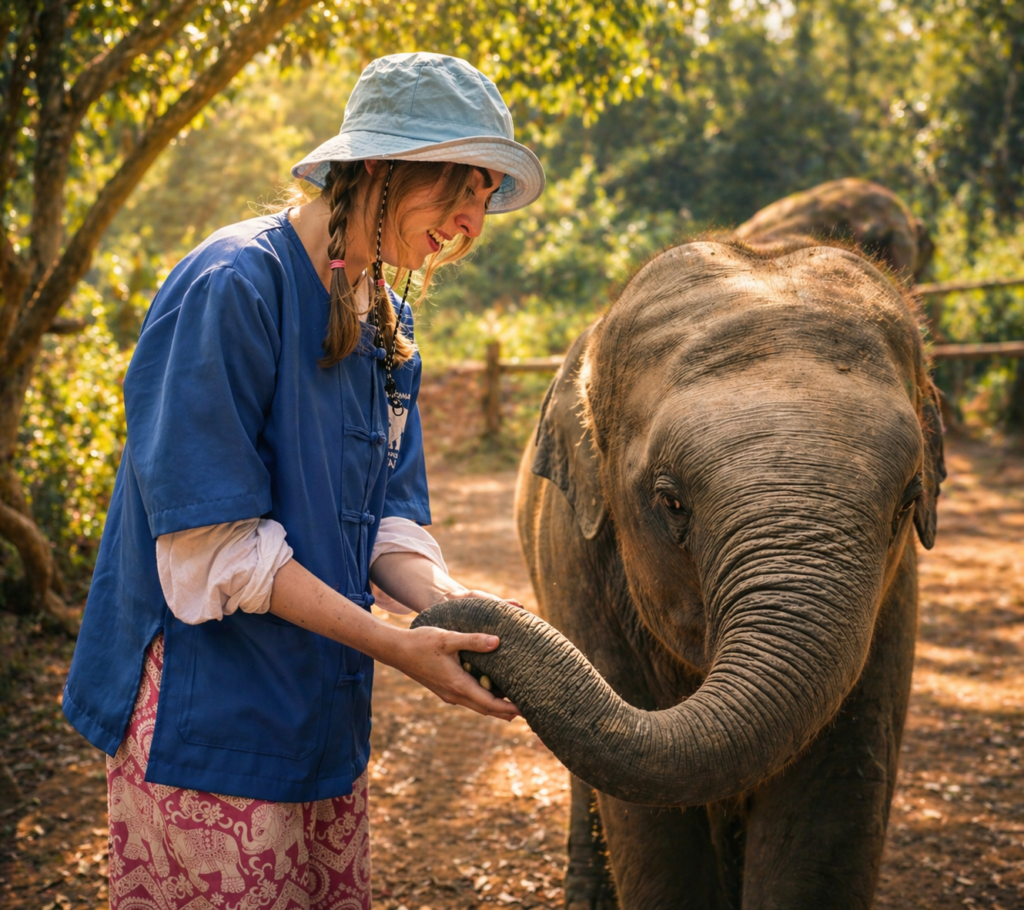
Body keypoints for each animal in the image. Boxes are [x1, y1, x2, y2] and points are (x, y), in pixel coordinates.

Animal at [413, 238, 945, 909]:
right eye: (671, 501)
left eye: (907, 502)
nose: (437, 623)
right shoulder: (577, 562)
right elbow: (652, 825)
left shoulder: (895, 598)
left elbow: (832, 799)